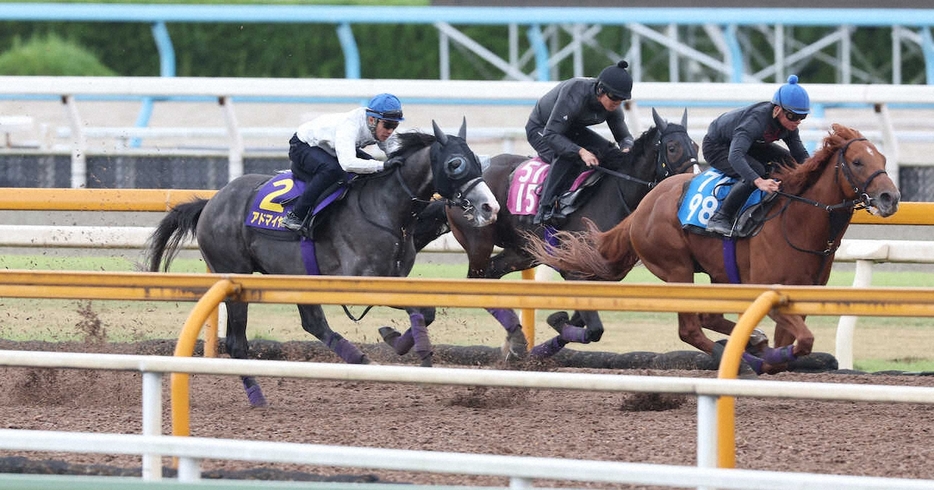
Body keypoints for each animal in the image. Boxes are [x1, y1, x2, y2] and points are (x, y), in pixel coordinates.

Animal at [146, 118, 500, 406]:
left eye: (477, 160)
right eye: (455, 164)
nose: (490, 207)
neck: (386, 207)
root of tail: (210, 203)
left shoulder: (392, 276)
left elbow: (425, 311)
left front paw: (400, 343)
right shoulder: (362, 281)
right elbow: (423, 309)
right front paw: (407, 346)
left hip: (297, 275)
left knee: (313, 323)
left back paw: (361, 361)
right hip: (234, 276)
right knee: (237, 343)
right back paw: (257, 396)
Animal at [398, 108, 700, 360]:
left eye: (695, 146)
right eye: (672, 147)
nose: (691, 181)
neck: (615, 193)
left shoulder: (600, 278)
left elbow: (580, 323)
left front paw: (548, 335)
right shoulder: (575, 273)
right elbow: (593, 330)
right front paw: (549, 332)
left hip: (522, 253)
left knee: (493, 274)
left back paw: (511, 340)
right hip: (479, 241)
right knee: (477, 282)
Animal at [528, 124, 900, 374]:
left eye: (882, 158)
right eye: (857, 162)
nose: (890, 198)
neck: (797, 220)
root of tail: (646, 202)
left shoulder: (800, 297)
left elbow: (794, 345)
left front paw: (766, 354)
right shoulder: (765, 289)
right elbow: (802, 341)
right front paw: (760, 359)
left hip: (718, 270)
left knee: (709, 318)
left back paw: (750, 345)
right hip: (677, 269)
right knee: (691, 329)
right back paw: (741, 358)